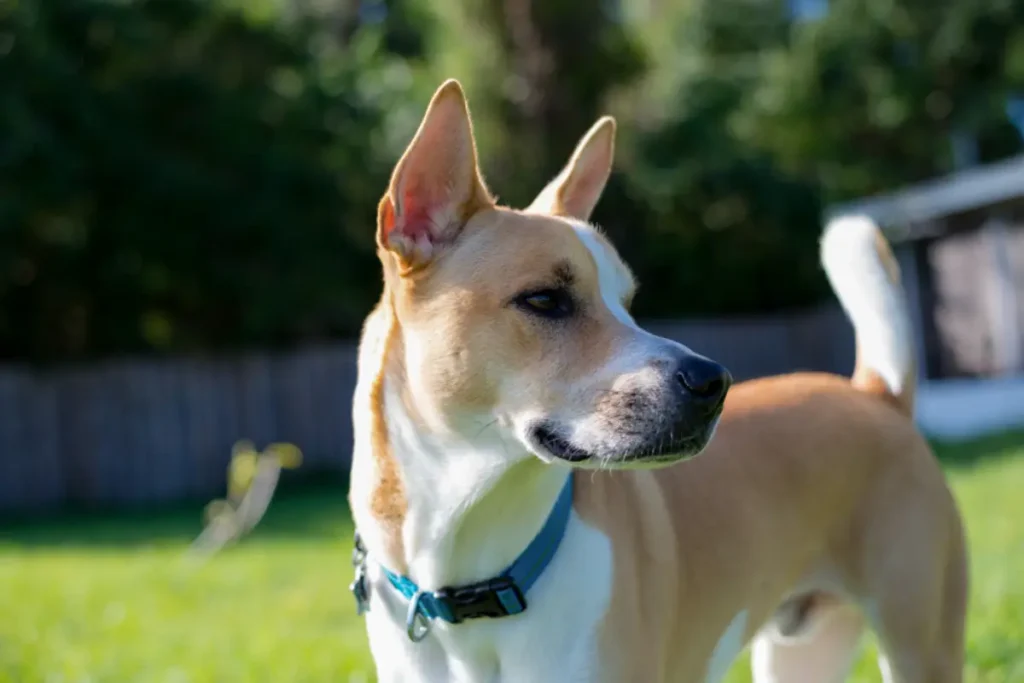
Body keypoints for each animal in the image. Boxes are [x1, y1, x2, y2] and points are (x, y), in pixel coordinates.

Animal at [348, 80, 962, 683]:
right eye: (544, 299)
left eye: (627, 302)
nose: (712, 382)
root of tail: (873, 395)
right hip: (800, 656)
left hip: (920, 648)